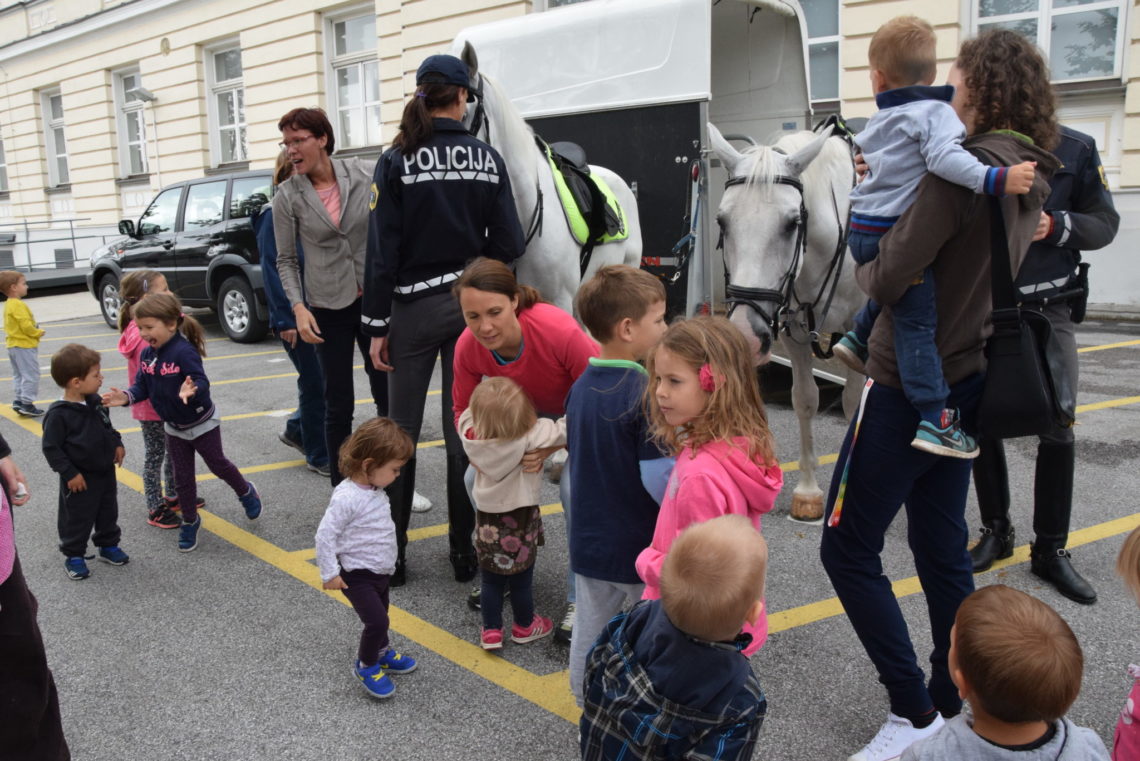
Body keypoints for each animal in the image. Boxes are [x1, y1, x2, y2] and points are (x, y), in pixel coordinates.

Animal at [711, 123, 861, 524]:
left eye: (792, 223)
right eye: (722, 221)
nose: (747, 335)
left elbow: (853, 403)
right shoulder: (794, 331)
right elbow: (805, 399)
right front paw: (808, 493)